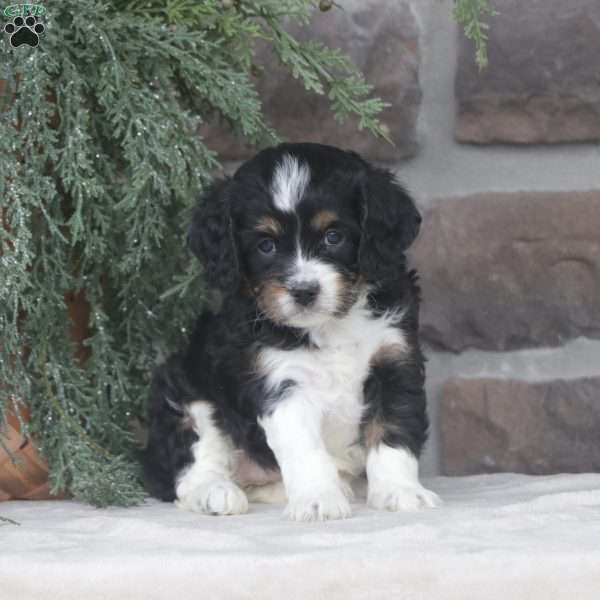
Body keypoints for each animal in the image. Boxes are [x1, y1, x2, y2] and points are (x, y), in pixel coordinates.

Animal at [142, 142, 440, 520]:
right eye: (266, 245)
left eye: (333, 237)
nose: (303, 291)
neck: (331, 324)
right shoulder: (280, 381)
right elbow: (304, 448)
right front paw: (318, 500)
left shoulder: (394, 360)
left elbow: (392, 432)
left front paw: (400, 491)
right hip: (188, 392)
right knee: (193, 464)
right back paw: (216, 492)